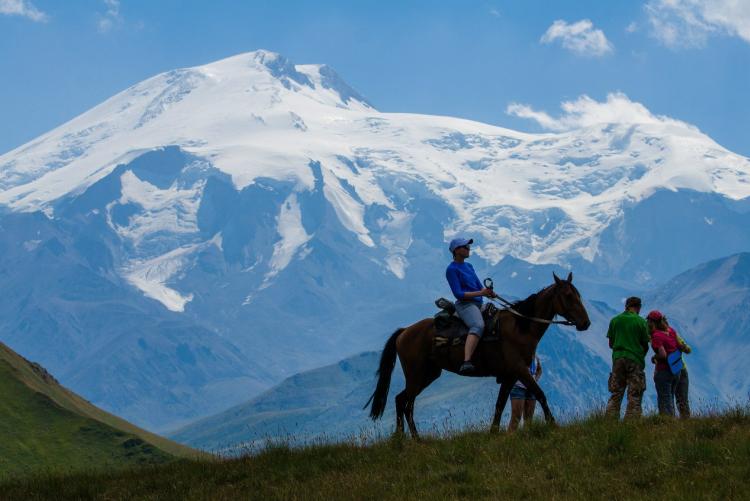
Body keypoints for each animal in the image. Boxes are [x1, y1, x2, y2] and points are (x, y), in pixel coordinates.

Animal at [366, 272, 592, 436]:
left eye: (579, 295)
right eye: (568, 296)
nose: (585, 323)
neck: (521, 326)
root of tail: (405, 331)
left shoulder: (510, 375)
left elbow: (500, 404)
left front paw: (493, 433)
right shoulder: (521, 370)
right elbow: (540, 394)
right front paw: (553, 425)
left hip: (428, 375)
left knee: (404, 402)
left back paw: (411, 439)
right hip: (416, 375)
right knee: (403, 402)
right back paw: (405, 439)